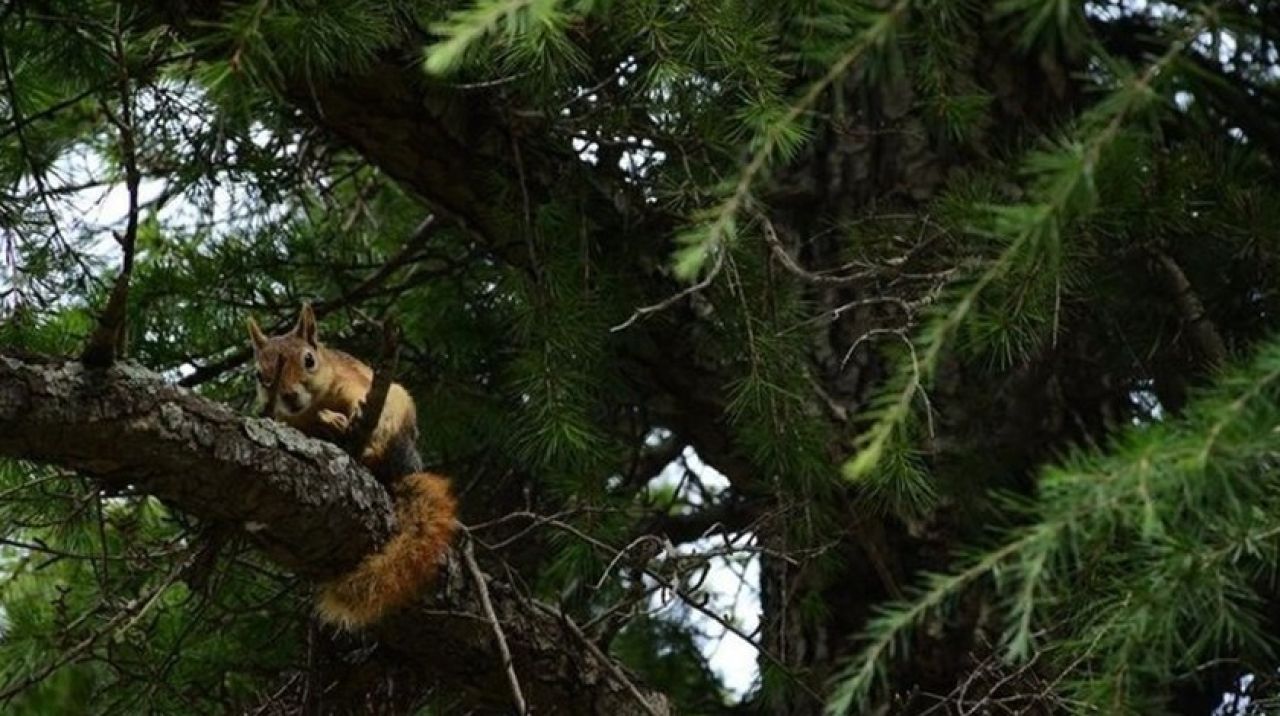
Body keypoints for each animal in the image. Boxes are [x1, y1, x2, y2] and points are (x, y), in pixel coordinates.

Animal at [247, 304, 458, 630]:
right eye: (259, 374)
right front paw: (326, 424)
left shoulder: (354, 382)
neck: (314, 405)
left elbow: (359, 400)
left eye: (309, 360)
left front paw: (341, 419)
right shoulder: (293, 422)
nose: (289, 396)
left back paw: (368, 449)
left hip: (398, 416)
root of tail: (402, 472)